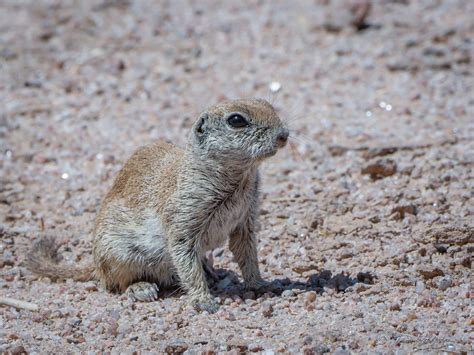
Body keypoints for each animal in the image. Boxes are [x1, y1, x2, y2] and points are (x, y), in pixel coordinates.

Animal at [27, 98, 290, 312]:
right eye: (237, 120)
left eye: (267, 103)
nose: (284, 134)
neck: (241, 178)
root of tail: (94, 264)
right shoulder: (184, 216)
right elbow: (185, 257)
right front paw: (204, 300)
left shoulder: (246, 216)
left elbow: (246, 251)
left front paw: (261, 284)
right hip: (120, 256)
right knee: (116, 282)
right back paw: (141, 288)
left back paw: (210, 271)